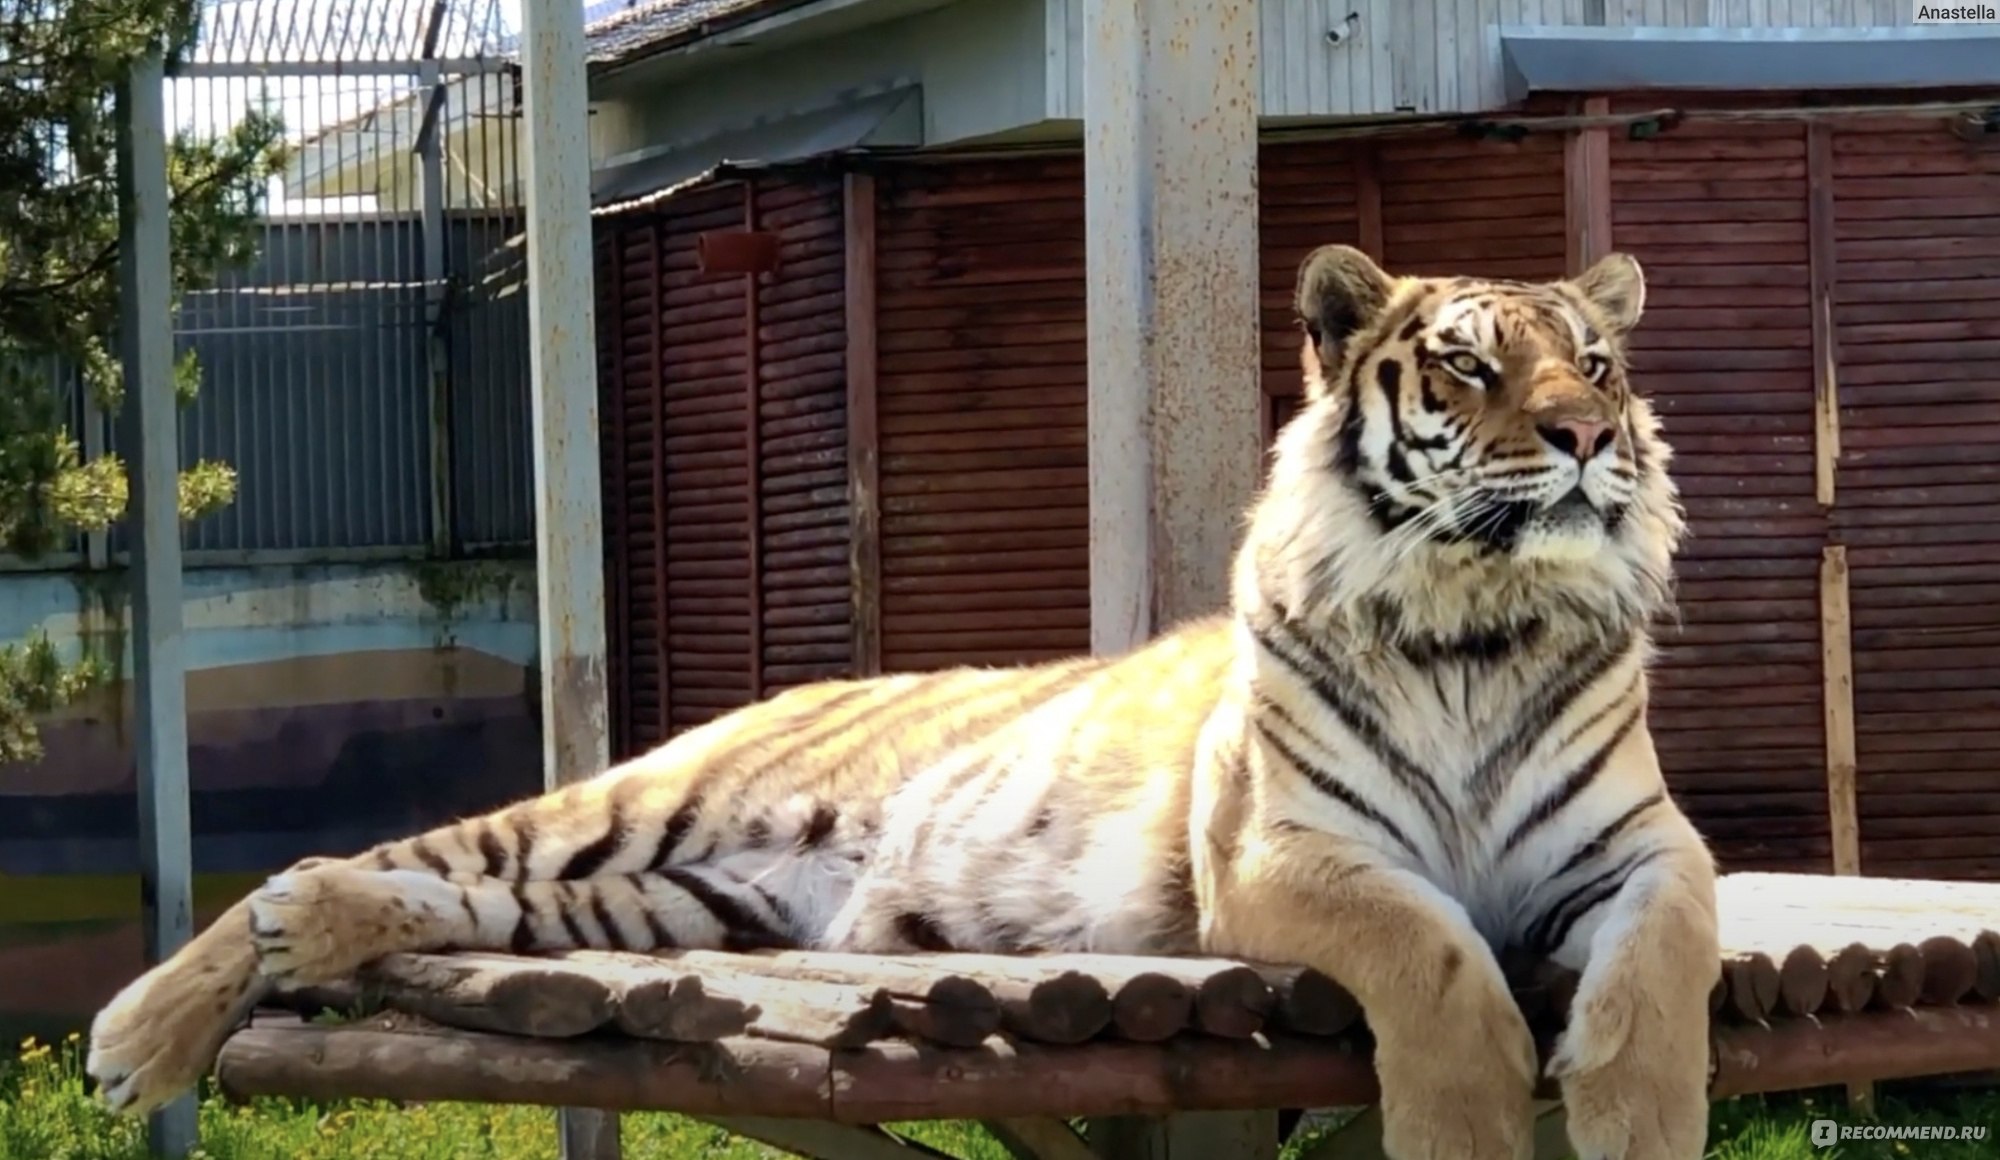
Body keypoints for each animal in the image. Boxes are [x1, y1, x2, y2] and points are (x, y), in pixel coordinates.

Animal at [90, 245, 1720, 1160]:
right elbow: (1437, 963)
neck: (1478, 627)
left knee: (442, 900)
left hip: (676, 904)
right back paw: (137, 1034)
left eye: (1594, 362)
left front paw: (1637, 1124)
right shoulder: (1282, 857)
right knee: (371, 857)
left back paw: (285, 948)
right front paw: (1466, 1125)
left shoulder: (1640, 850)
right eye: (1468, 367)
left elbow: (1666, 968)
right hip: (628, 812)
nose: (1585, 434)